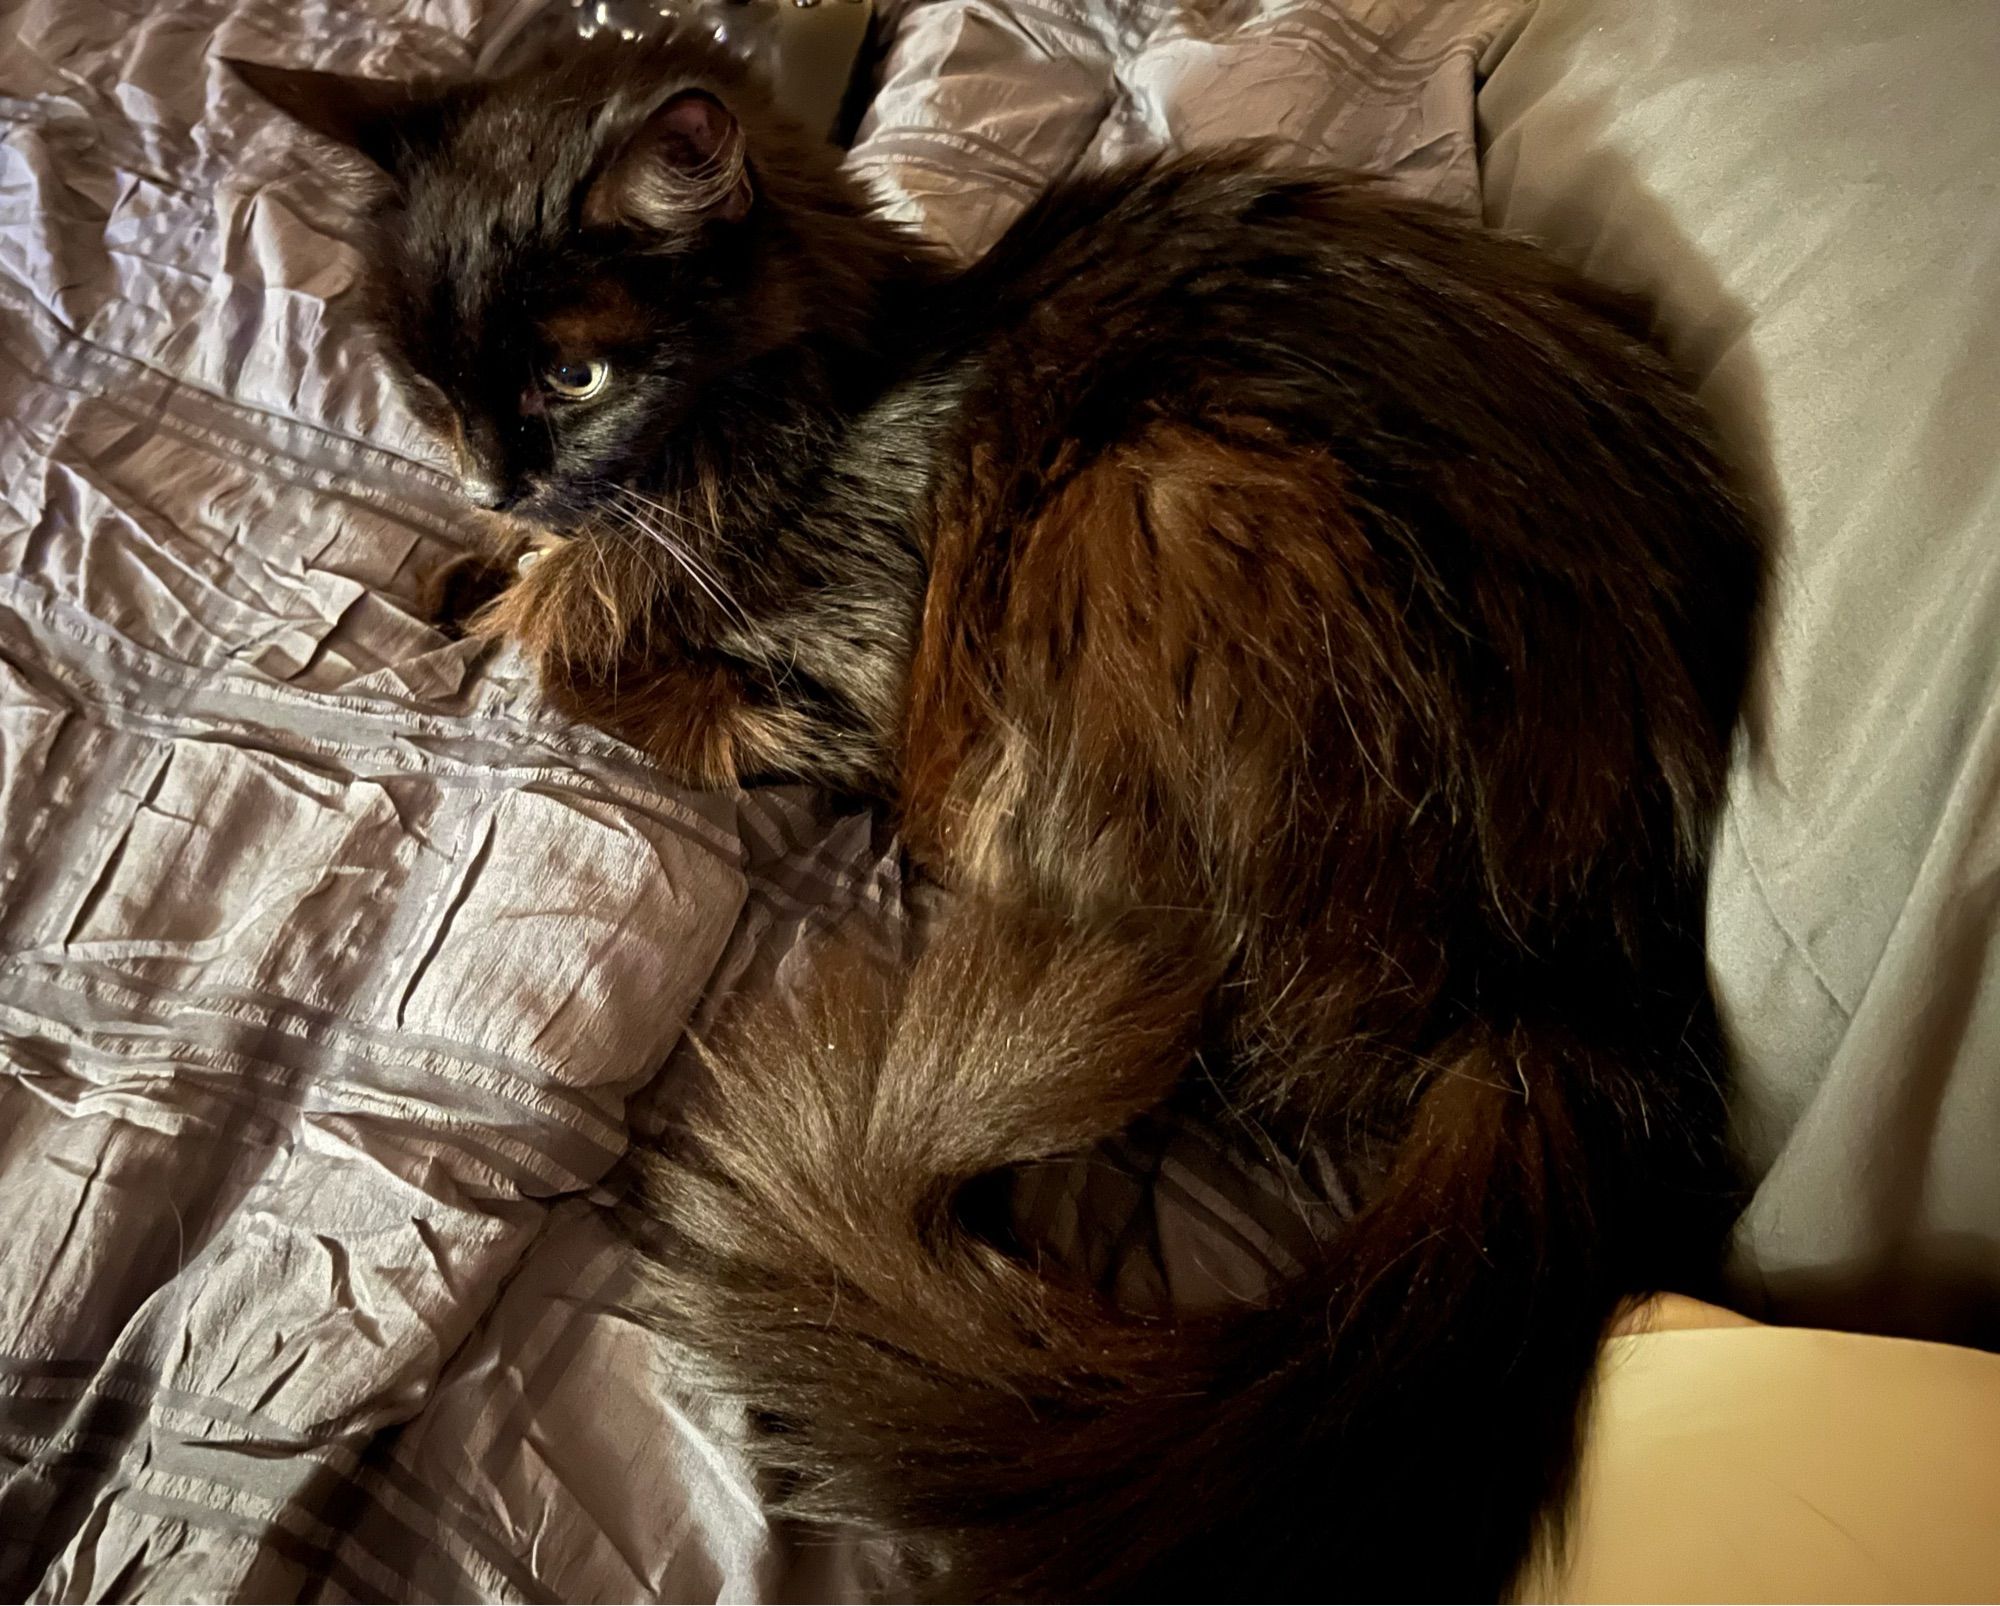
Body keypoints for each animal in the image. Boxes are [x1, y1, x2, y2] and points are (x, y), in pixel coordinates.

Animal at [238, 31, 1768, 1600]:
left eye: (577, 372)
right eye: (426, 380)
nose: (497, 475)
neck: (813, 411)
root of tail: (1574, 997)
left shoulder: (825, 692)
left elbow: (582, 658)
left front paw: (525, 600)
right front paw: (470, 567)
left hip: (1152, 501)